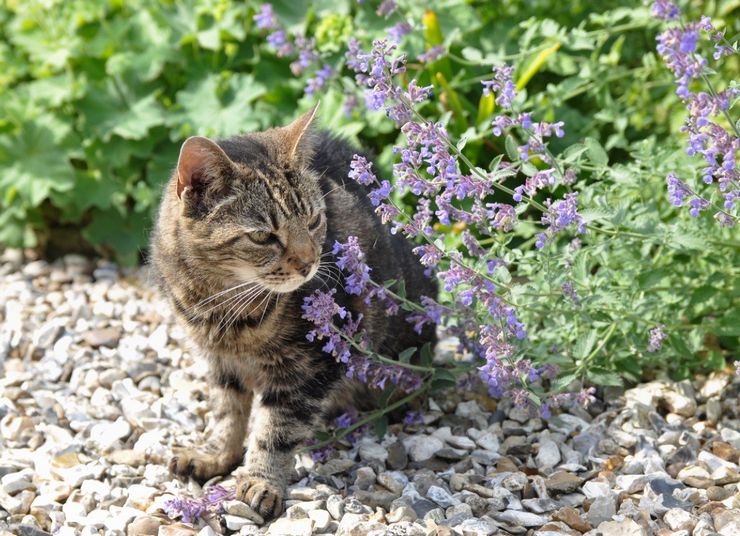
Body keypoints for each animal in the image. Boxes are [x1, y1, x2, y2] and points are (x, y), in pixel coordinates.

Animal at [152, 104, 440, 520]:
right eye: (262, 236)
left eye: (314, 220)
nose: (308, 263)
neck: (223, 305)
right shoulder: (220, 362)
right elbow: (226, 412)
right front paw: (215, 454)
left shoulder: (312, 365)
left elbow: (277, 430)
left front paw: (261, 481)